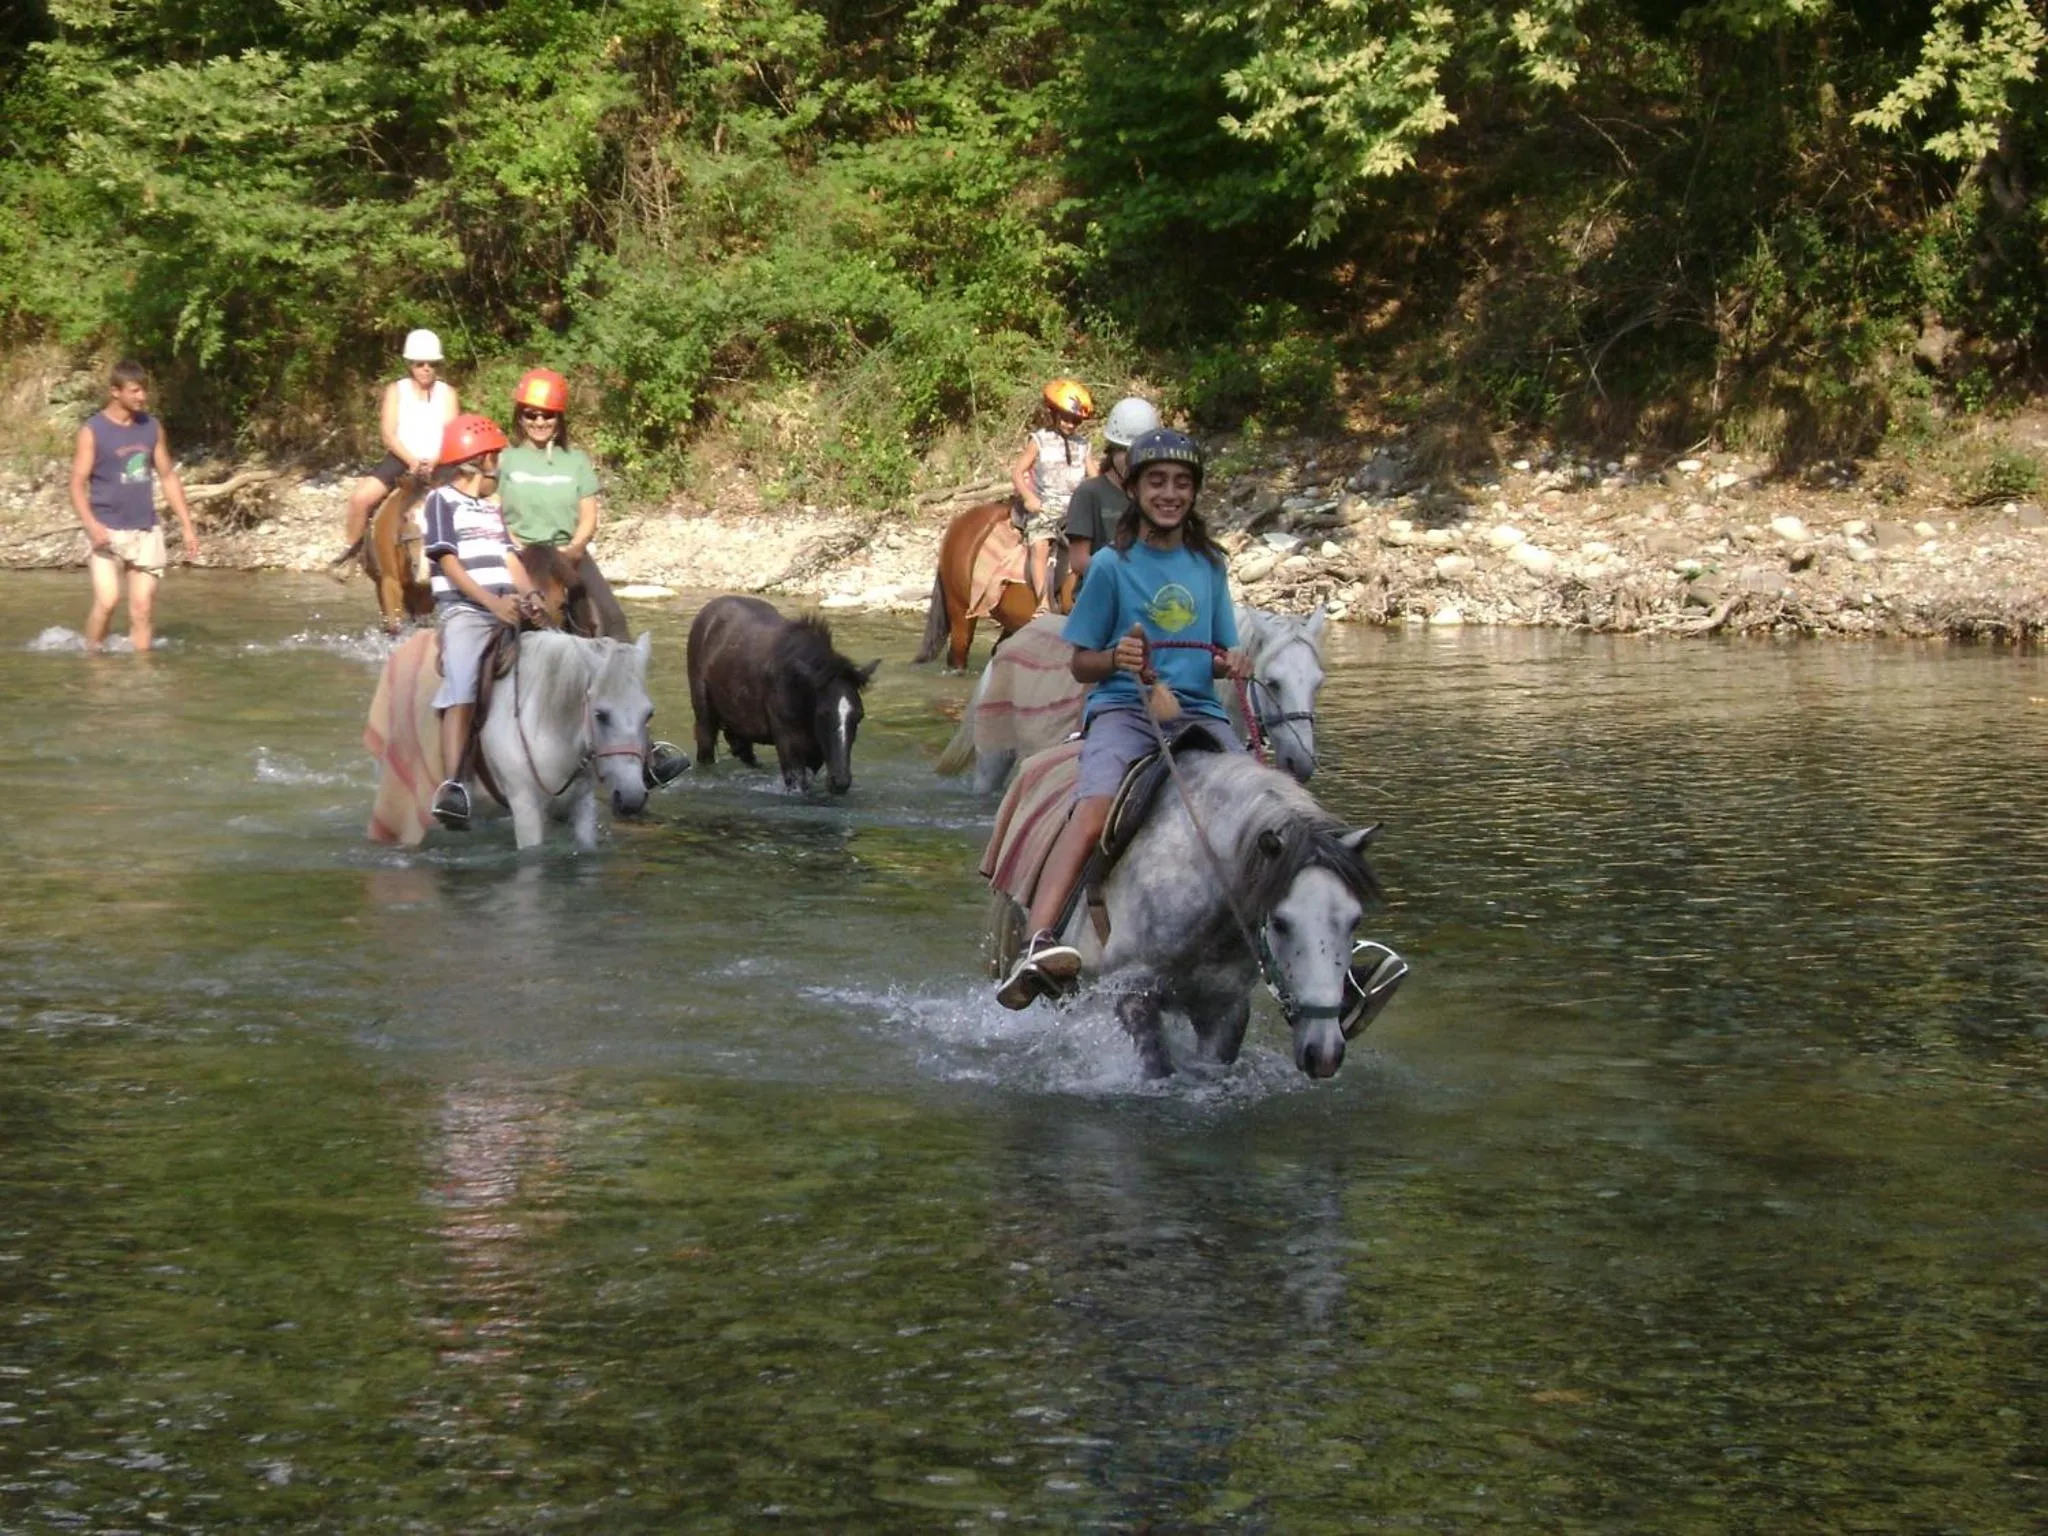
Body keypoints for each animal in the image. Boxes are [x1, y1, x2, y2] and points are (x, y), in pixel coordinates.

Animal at [687, 595, 880, 794]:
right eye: (823, 714)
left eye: (859, 715)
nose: (840, 782)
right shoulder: (789, 745)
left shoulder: (815, 753)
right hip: (705, 719)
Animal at [986, 748, 1398, 1080]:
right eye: (1281, 923)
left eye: (1354, 920)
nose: (1323, 1054)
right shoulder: (1131, 990)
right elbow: (1157, 1069)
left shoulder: (1225, 1007)